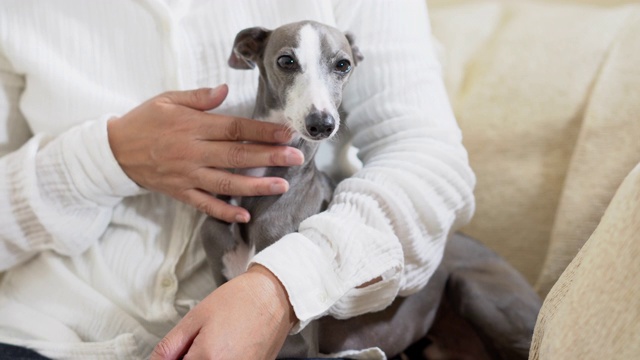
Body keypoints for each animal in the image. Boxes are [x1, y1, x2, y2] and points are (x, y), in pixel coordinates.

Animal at [200, 21, 540, 358]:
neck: (258, 196)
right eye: (286, 60)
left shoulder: (299, 345)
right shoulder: (220, 272)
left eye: (343, 65)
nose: (322, 124)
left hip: (479, 294)